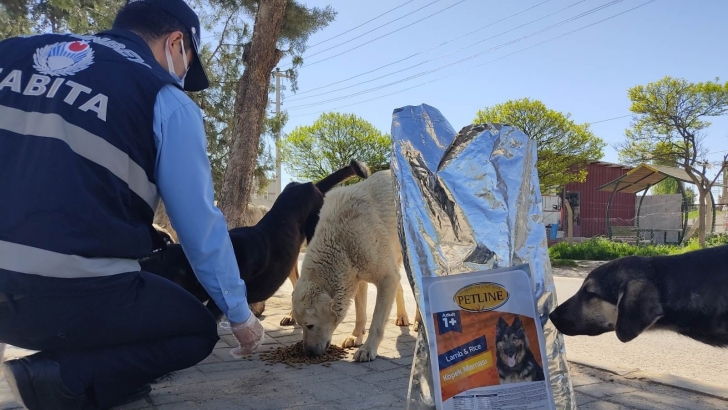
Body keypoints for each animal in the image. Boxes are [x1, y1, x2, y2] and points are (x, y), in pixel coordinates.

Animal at [292, 170, 416, 362]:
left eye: (310, 325)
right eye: (300, 325)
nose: (309, 353)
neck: (339, 241)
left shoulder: (385, 278)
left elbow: (377, 321)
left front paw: (368, 349)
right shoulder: (355, 277)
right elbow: (360, 312)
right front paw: (355, 336)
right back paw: (402, 316)